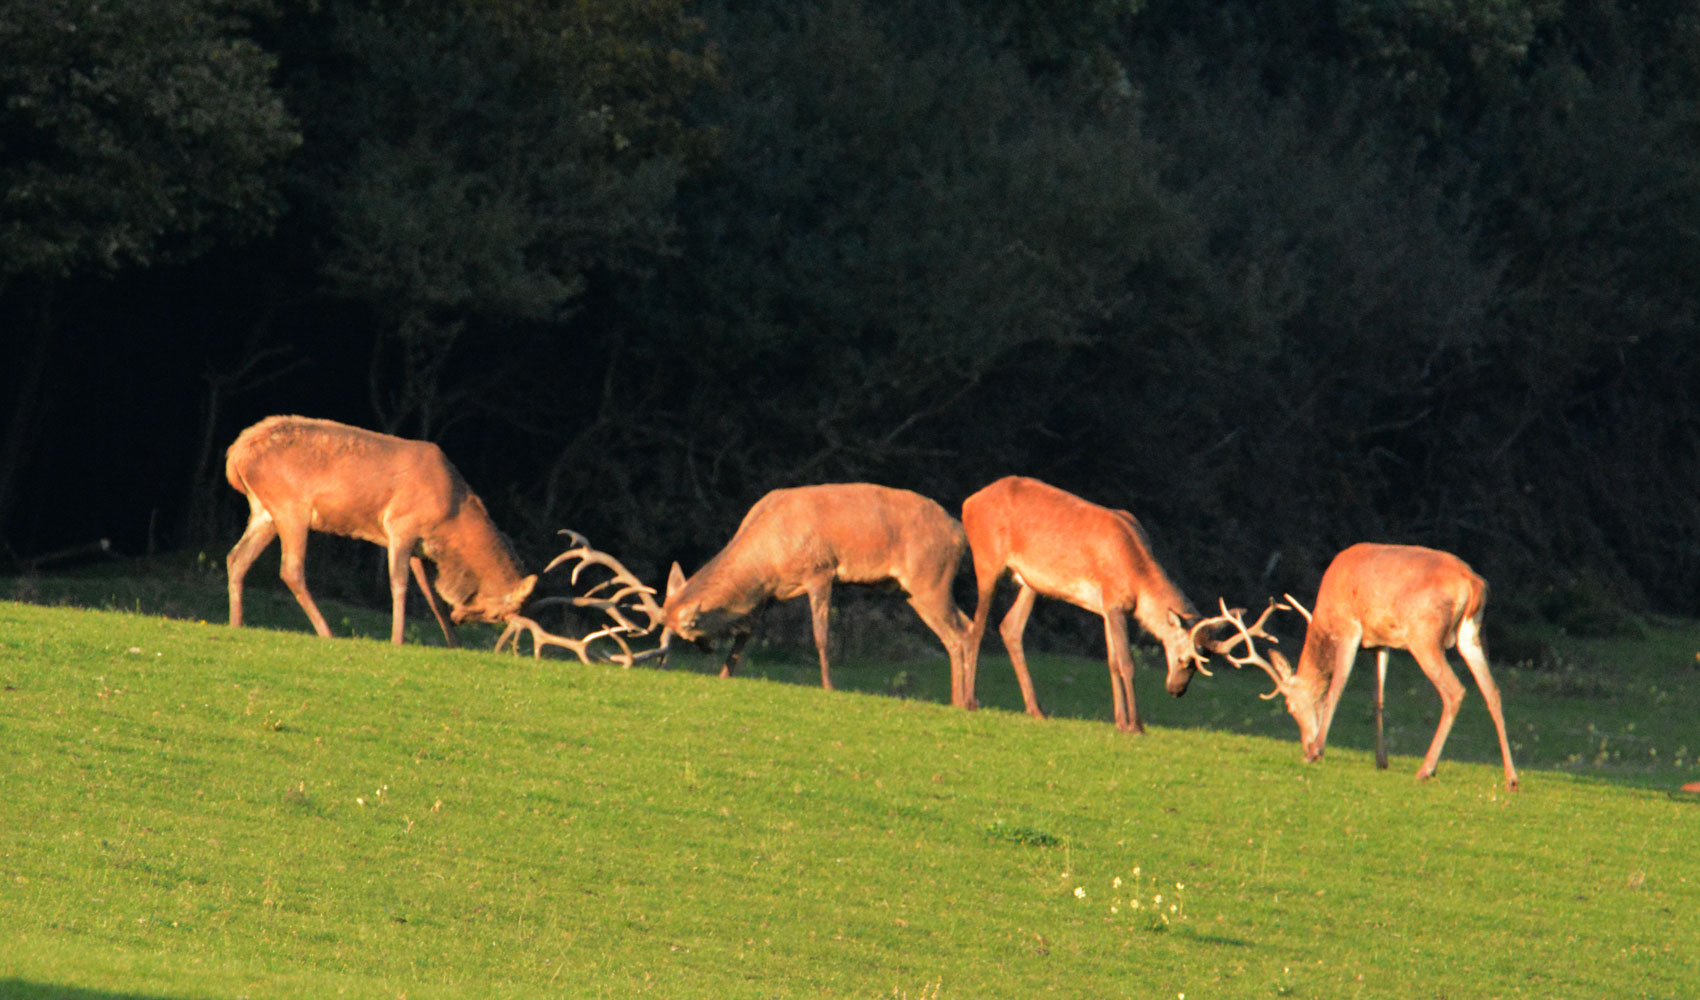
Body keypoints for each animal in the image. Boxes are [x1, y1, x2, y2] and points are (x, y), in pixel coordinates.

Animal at [222, 416, 533, 642]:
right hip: (290, 507)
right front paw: (398, 639)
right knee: (291, 570)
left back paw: (236, 623)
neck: (450, 521)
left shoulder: (420, 548)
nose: (461, 620)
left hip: (264, 512)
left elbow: (433, 598)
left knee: (237, 558)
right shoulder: (401, 525)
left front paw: (453, 644)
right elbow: (399, 585)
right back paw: (326, 631)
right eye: (496, 615)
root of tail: (235, 455)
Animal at [659, 482, 979, 704]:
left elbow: (821, 635)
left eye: (689, 628)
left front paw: (828, 685)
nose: (706, 648)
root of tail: (960, 534)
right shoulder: (769, 592)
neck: (767, 559)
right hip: (916, 589)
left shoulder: (820, 571)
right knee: (959, 630)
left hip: (931, 580)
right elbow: (744, 634)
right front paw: (724, 675)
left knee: (962, 631)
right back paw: (960, 700)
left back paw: (965, 702)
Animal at [965, 472, 1217, 731]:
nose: (1177, 690)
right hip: (987, 560)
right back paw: (969, 701)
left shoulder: (1108, 608)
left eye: (1204, 661)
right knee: (977, 626)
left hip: (1031, 581)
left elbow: (1113, 662)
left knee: (1010, 627)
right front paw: (1136, 726)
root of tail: (970, 502)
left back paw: (1036, 709)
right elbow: (1127, 663)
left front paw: (1121, 722)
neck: (1137, 575)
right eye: (1185, 659)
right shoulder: (1115, 603)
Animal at [1196, 544, 1516, 792]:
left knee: (1455, 690)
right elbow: (1378, 699)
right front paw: (1381, 760)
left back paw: (1426, 769)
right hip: (1472, 635)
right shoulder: (1380, 643)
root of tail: (1474, 584)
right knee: (1493, 691)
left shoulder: (1349, 630)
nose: (1305, 744)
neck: (1324, 616)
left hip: (1424, 636)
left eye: (1290, 707)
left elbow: (1336, 689)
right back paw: (1511, 778)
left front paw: (1316, 752)